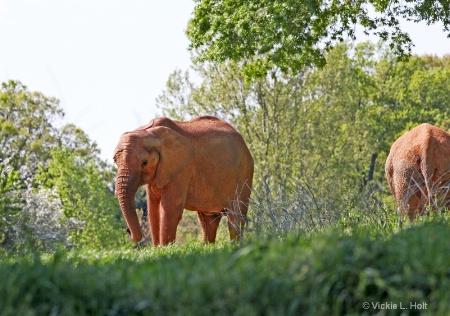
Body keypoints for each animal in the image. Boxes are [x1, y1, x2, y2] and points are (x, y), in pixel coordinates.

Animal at [112, 115, 253, 246]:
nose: (127, 230)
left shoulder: (182, 169)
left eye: (144, 163)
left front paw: (165, 249)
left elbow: (170, 209)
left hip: (244, 171)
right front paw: (157, 249)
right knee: (208, 220)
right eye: (115, 161)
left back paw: (236, 246)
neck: (149, 132)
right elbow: (153, 209)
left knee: (235, 215)